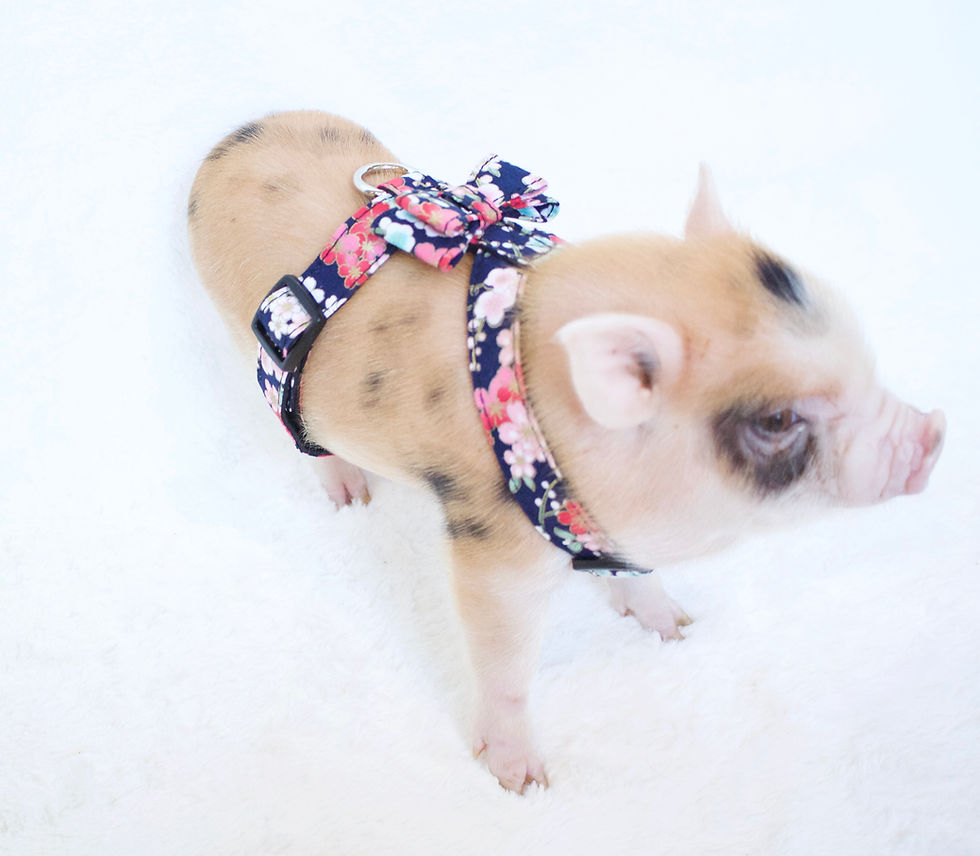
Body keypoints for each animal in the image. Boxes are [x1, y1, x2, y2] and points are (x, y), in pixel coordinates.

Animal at [187, 110, 945, 793]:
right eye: (778, 419)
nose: (935, 434)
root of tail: (224, 147)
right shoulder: (493, 547)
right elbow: (503, 659)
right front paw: (523, 783)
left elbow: (639, 585)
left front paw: (679, 632)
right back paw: (351, 497)